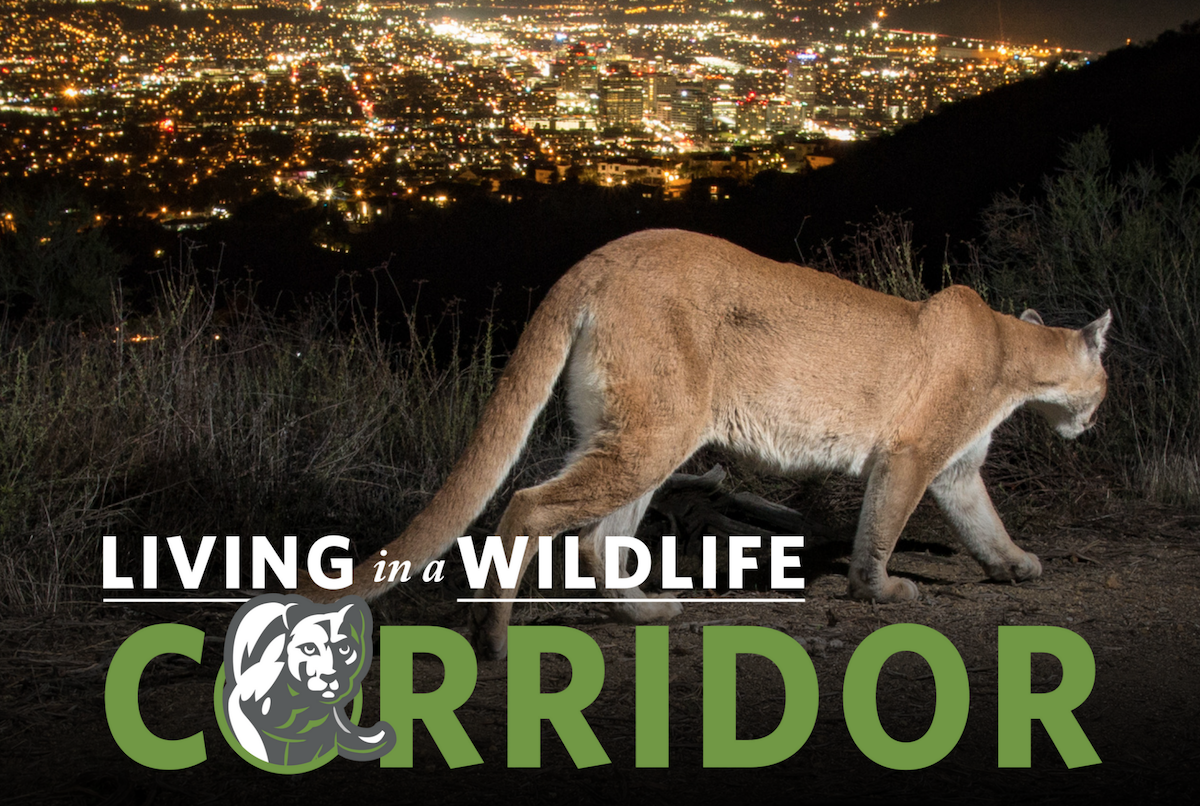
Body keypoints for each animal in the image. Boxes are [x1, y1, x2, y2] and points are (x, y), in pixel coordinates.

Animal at [304, 230, 1108, 657]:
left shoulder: (957, 469)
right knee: (530, 507)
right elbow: (882, 527)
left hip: (632, 434)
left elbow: (982, 522)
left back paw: (648, 613)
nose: (1092, 422)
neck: (1011, 350)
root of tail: (597, 258)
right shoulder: (911, 454)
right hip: (655, 433)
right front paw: (879, 588)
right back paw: (494, 639)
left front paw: (1015, 564)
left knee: (597, 537)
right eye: (1103, 386)